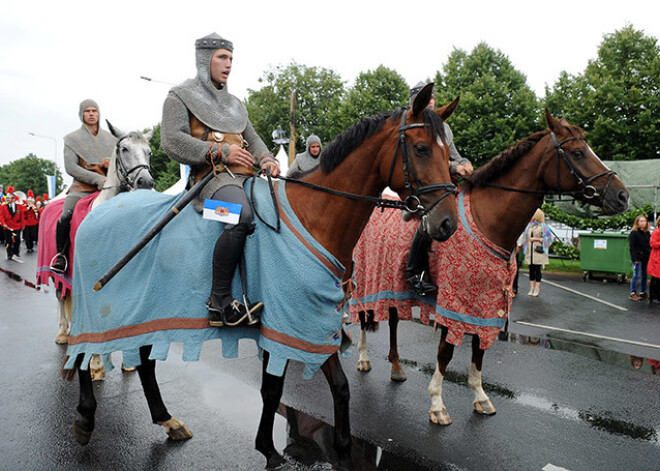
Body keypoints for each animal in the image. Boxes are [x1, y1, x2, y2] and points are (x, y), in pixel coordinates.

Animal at [65, 85, 458, 471]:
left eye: (448, 153)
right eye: (421, 148)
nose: (447, 223)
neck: (313, 217)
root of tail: (98, 212)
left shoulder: (311, 322)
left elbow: (330, 387)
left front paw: (334, 452)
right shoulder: (294, 320)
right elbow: (275, 388)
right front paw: (271, 450)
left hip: (147, 310)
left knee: (144, 362)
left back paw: (168, 421)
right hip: (102, 306)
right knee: (82, 352)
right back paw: (84, 419)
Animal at [350, 110, 628, 428]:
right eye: (578, 152)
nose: (622, 196)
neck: (488, 221)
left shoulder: (486, 304)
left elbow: (479, 349)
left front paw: (480, 397)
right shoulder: (454, 303)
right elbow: (446, 352)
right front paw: (437, 403)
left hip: (392, 286)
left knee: (394, 320)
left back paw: (396, 366)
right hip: (365, 280)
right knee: (363, 316)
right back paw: (363, 358)